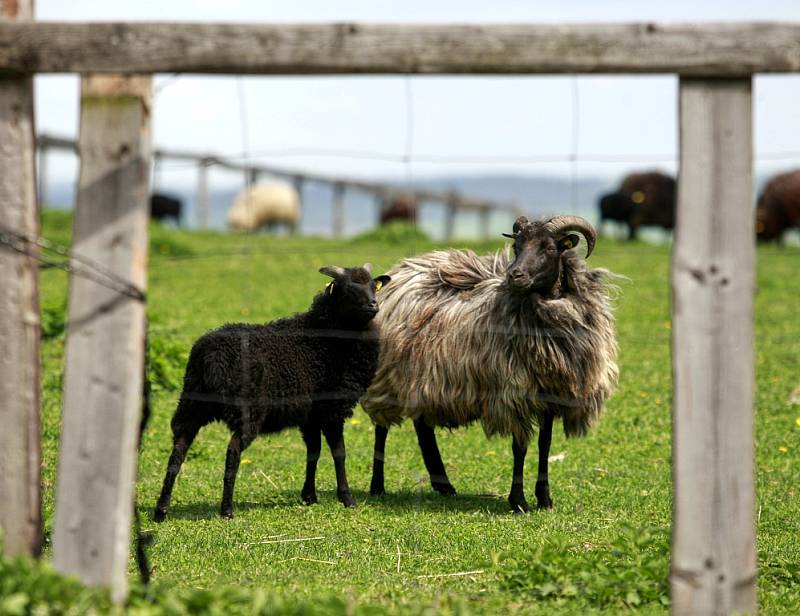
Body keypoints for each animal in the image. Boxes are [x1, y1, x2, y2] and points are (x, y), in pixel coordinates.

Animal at [154, 262, 390, 524]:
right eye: (349, 289)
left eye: (373, 286)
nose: (373, 305)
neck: (329, 337)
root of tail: (212, 356)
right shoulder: (332, 408)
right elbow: (339, 453)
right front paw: (347, 498)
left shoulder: (310, 414)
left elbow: (313, 452)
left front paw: (309, 496)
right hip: (247, 411)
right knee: (232, 451)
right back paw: (226, 510)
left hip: (191, 404)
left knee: (178, 451)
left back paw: (161, 510)